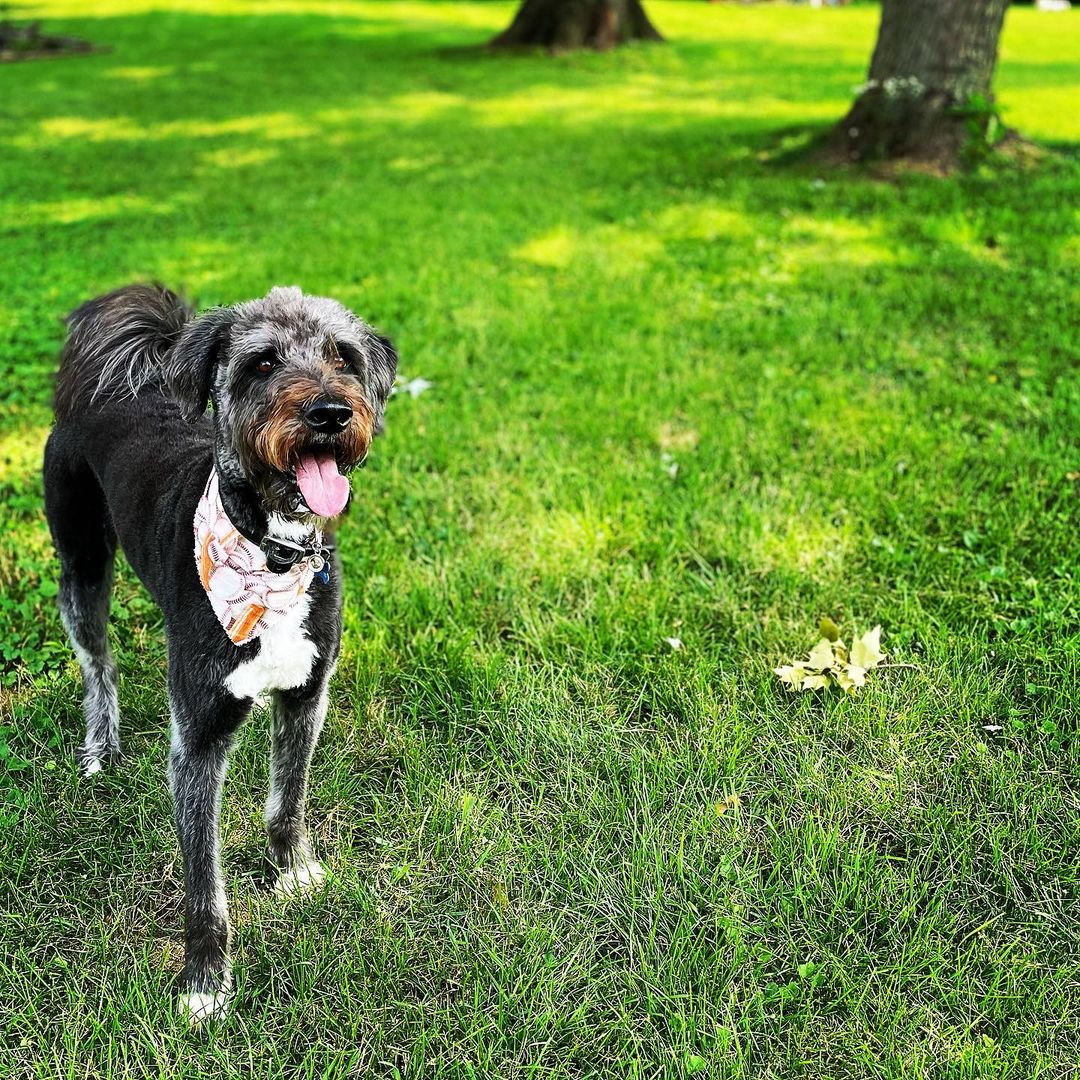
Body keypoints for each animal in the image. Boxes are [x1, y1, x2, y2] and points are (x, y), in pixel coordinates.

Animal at [41, 285, 401, 1019]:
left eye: (342, 357)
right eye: (262, 363)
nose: (331, 413)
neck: (272, 555)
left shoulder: (305, 697)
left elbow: (286, 803)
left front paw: (292, 872)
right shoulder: (199, 740)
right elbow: (203, 880)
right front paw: (206, 977)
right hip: (80, 566)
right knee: (99, 664)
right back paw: (101, 746)